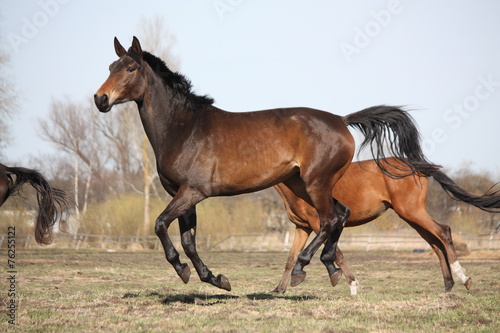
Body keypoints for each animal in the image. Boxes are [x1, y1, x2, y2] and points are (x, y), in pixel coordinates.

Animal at [94, 36, 438, 290]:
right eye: (110, 66)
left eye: (129, 68)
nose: (101, 99)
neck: (184, 128)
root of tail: (341, 120)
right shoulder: (183, 195)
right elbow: (188, 240)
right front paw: (215, 279)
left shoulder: (192, 192)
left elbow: (160, 224)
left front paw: (183, 270)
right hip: (304, 184)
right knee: (341, 214)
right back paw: (330, 268)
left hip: (316, 183)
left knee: (330, 219)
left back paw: (303, 269)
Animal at [274, 158, 500, 294]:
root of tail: (417, 165)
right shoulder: (302, 227)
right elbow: (290, 258)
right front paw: (279, 289)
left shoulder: (319, 224)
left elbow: (336, 254)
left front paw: (351, 284)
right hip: (411, 217)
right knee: (436, 244)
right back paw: (448, 285)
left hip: (412, 212)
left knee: (444, 232)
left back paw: (463, 278)